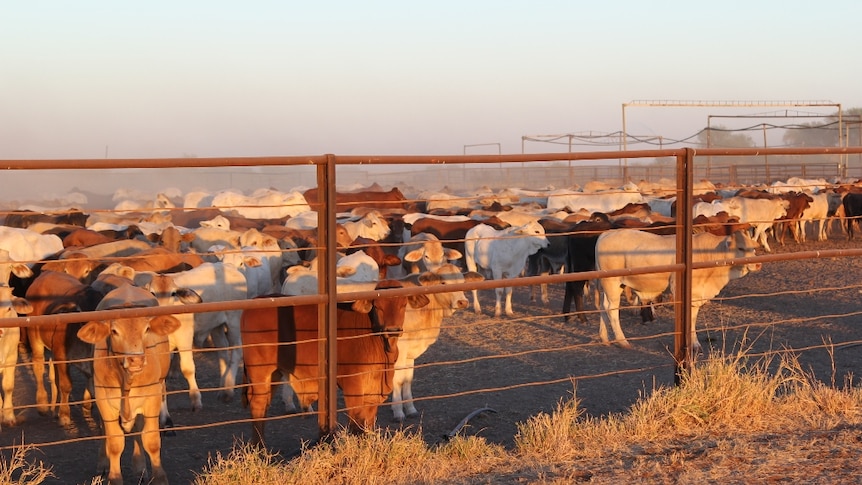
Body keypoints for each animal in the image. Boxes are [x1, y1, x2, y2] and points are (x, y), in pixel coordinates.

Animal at [75, 284, 182, 484]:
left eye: (147, 329)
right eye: (114, 331)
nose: (136, 360)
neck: (126, 379)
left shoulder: (152, 398)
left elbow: (151, 440)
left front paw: (159, 477)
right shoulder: (104, 401)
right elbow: (114, 442)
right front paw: (114, 477)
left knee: (139, 431)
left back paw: (140, 468)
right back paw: (103, 464)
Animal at [238, 278, 430, 444]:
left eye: (403, 304)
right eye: (377, 306)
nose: (393, 330)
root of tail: (255, 303)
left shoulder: (373, 391)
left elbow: (368, 425)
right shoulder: (353, 387)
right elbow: (357, 426)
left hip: (274, 374)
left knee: (264, 406)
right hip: (259, 371)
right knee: (258, 406)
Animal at [394, 264, 486, 420]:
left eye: (462, 283)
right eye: (443, 283)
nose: (463, 302)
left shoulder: (410, 351)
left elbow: (407, 379)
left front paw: (411, 409)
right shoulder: (399, 349)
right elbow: (398, 380)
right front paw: (398, 412)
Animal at [596, 227, 760, 352]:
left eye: (753, 248)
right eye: (740, 247)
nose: (758, 264)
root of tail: (606, 234)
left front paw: (694, 344)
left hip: (612, 286)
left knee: (603, 308)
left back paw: (605, 338)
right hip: (612, 283)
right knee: (611, 310)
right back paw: (622, 341)